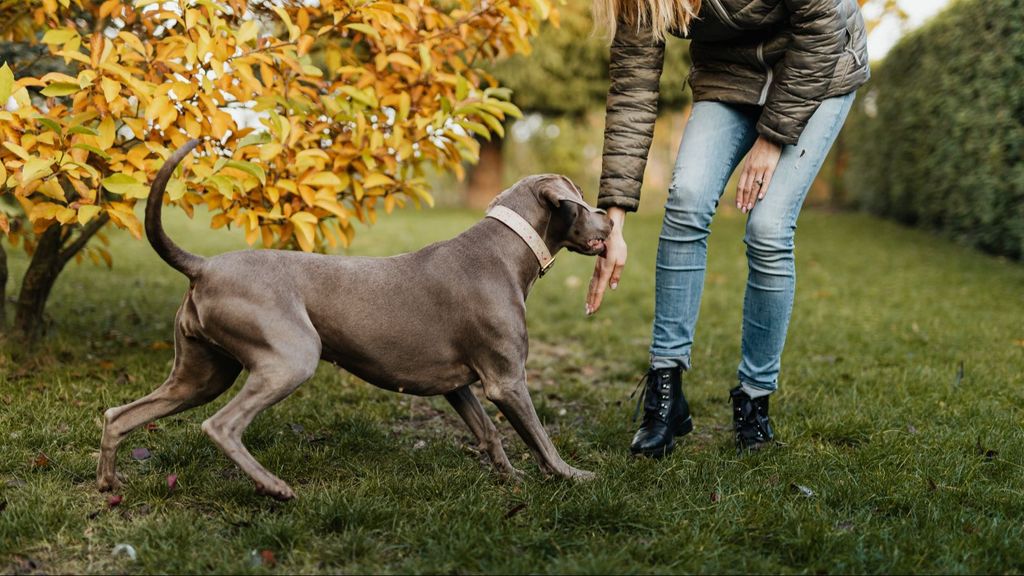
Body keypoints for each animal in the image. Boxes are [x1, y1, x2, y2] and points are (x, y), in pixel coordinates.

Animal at [96, 139, 610, 498]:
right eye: (584, 199)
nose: (608, 218)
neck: (507, 251)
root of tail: (202, 265)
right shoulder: (506, 379)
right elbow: (540, 437)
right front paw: (574, 476)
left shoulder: (455, 383)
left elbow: (488, 433)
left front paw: (511, 479)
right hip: (292, 356)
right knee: (221, 426)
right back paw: (274, 487)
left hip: (201, 374)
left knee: (120, 414)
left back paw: (109, 484)